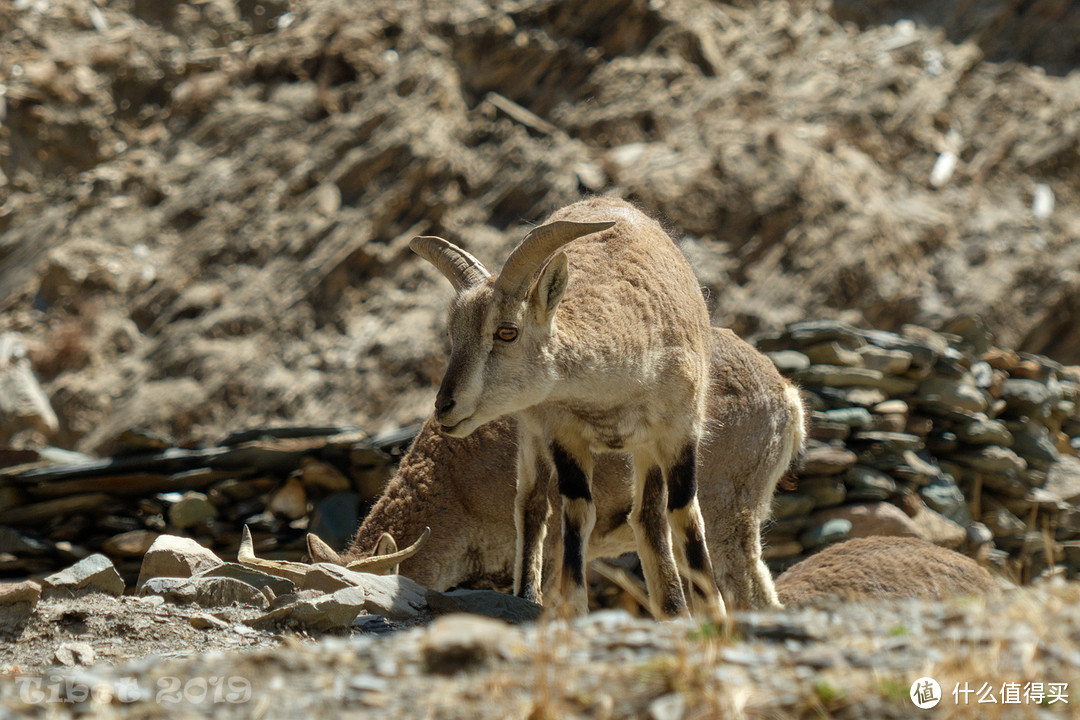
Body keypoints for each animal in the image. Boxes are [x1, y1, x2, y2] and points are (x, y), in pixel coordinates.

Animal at [408, 198, 781, 621]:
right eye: (453, 334)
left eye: (506, 331)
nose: (445, 407)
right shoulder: (564, 433)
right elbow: (576, 513)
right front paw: (573, 605)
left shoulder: (679, 429)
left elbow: (685, 513)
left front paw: (712, 611)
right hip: (532, 430)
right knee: (532, 506)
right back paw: (527, 595)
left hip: (644, 449)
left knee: (648, 517)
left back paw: (671, 606)